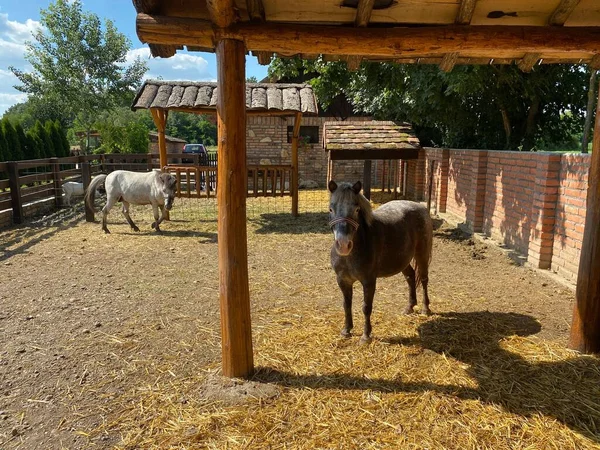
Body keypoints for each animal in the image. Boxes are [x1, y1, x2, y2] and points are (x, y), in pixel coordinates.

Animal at [330, 181, 434, 342]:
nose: (343, 245)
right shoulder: (343, 280)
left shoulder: (369, 281)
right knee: (410, 276)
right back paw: (409, 307)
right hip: (403, 261)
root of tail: (421, 207)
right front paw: (346, 330)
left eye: (357, 209)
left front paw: (366, 336)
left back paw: (425, 309)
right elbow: (346, 305)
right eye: (331, 209)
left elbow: (366, 307)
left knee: (423, 279)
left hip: (422, 254)